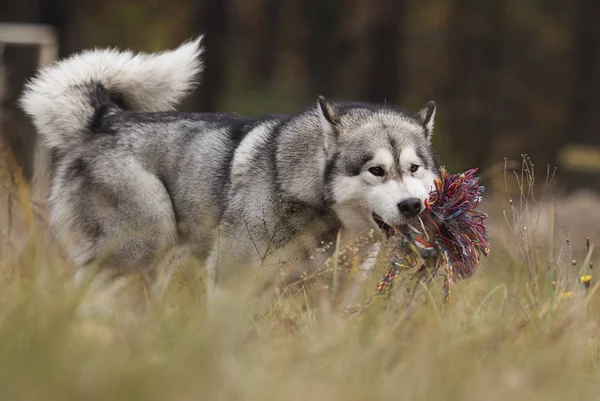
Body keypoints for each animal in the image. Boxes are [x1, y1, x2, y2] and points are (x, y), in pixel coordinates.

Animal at [18, 37, 440, 300]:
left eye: (414, 168)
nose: (411, 206)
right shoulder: (231, 275)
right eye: (376, 171)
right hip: (138, 247)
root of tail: (106, 118)